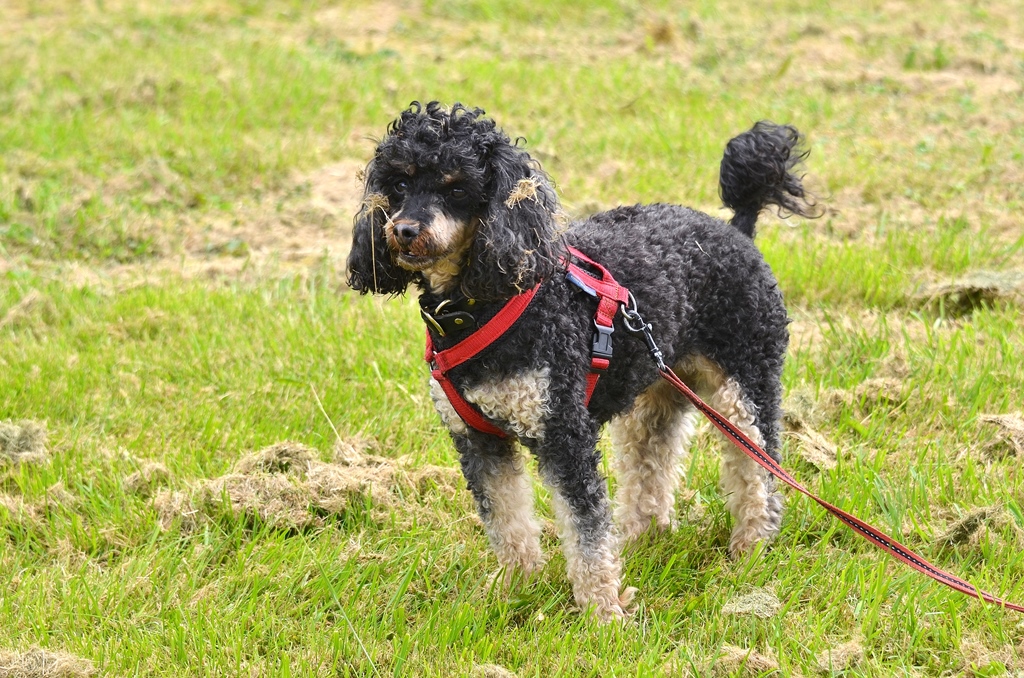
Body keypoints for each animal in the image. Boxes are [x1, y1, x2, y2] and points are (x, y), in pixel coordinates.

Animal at [348, 102, 819, 622]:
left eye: (456, 187)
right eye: (400, 183)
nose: (404, 230)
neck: (481, 307)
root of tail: (737, 229)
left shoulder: (563, 432)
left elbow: (586, 532)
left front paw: (603, 614)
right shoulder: (478, 439)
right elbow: (507, 522)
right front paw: (515, 590)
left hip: (746, 384)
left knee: (759, 472)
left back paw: (750, 549)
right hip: (656, 395)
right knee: (651, 464)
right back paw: (639, 539)